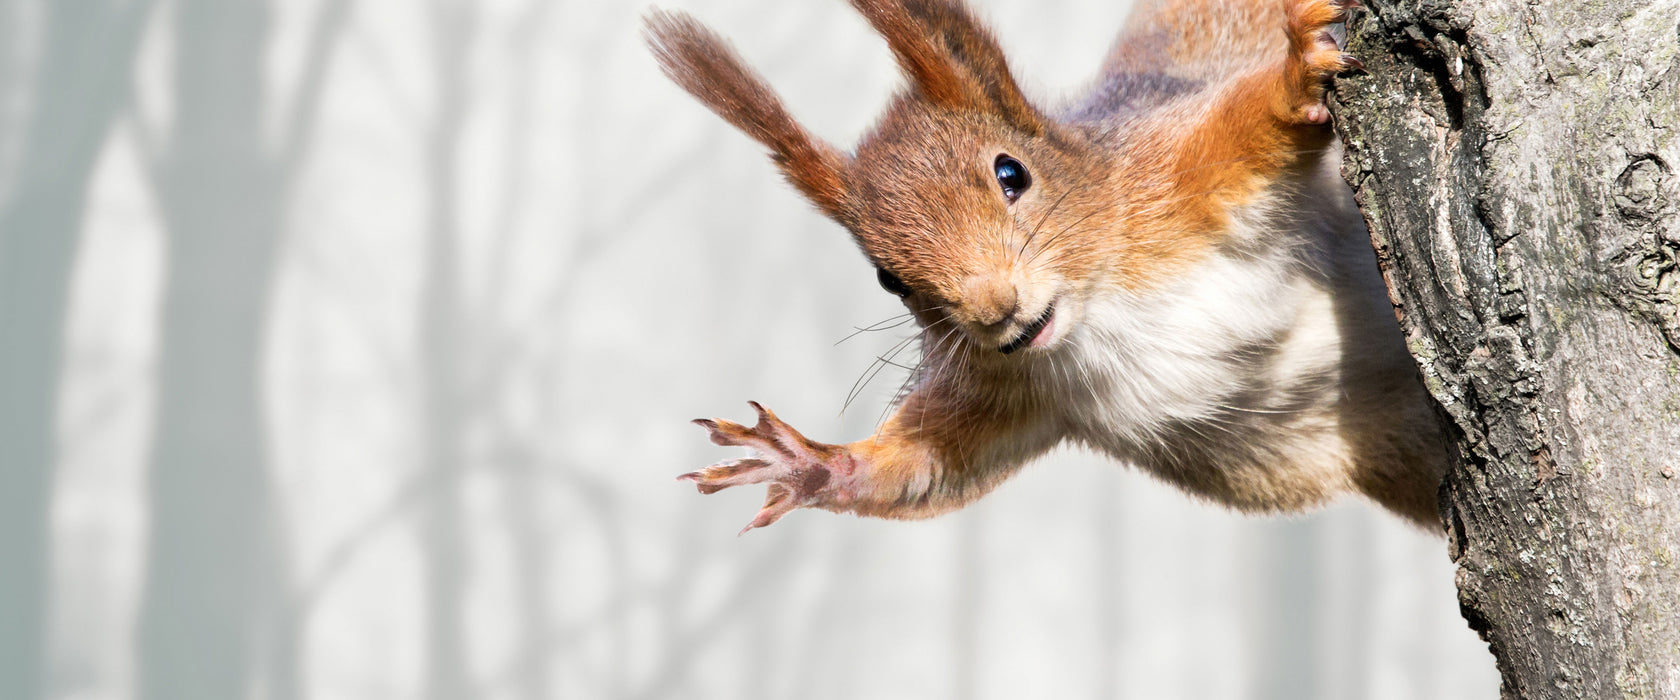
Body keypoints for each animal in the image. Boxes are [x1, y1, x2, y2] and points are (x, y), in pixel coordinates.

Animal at [641, 0, 1458, 530]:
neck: (1100, 310)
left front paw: (1297, 73)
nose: (995, 312)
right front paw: (806, 462)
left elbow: (1249, 123)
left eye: (1012, 174)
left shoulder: (1173, 177)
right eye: (887, 278)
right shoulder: (1008, 388)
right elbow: (927, 466)